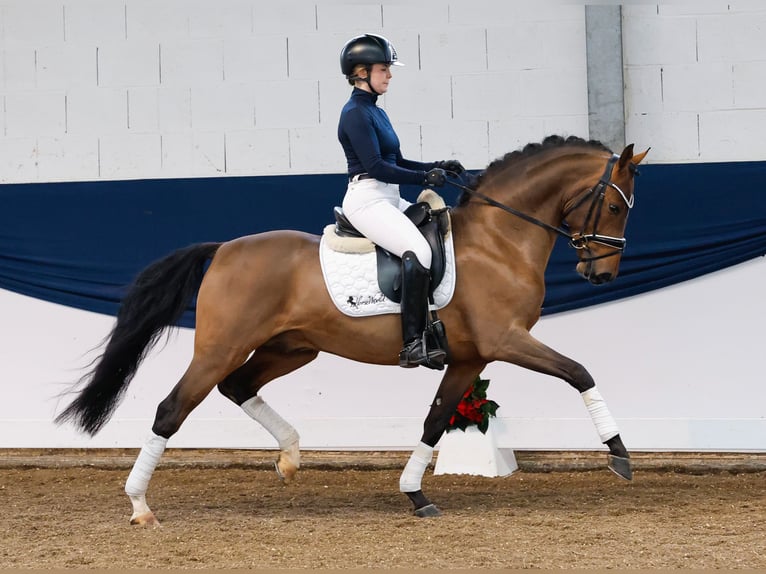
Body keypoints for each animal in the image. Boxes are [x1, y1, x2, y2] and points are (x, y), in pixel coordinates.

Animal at [57, 135, 652, 528]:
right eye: (614, 204)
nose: (601, 275)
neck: (500, 241)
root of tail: (224, 249)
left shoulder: (470, 358)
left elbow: (436, 421)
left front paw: (414, 493)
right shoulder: (505, 340)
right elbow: (579, 372)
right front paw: (620, 454)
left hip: (292, 348)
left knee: (238, 386)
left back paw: (290, 457)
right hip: (220, 347)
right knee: (171, 409)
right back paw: (140, 506)